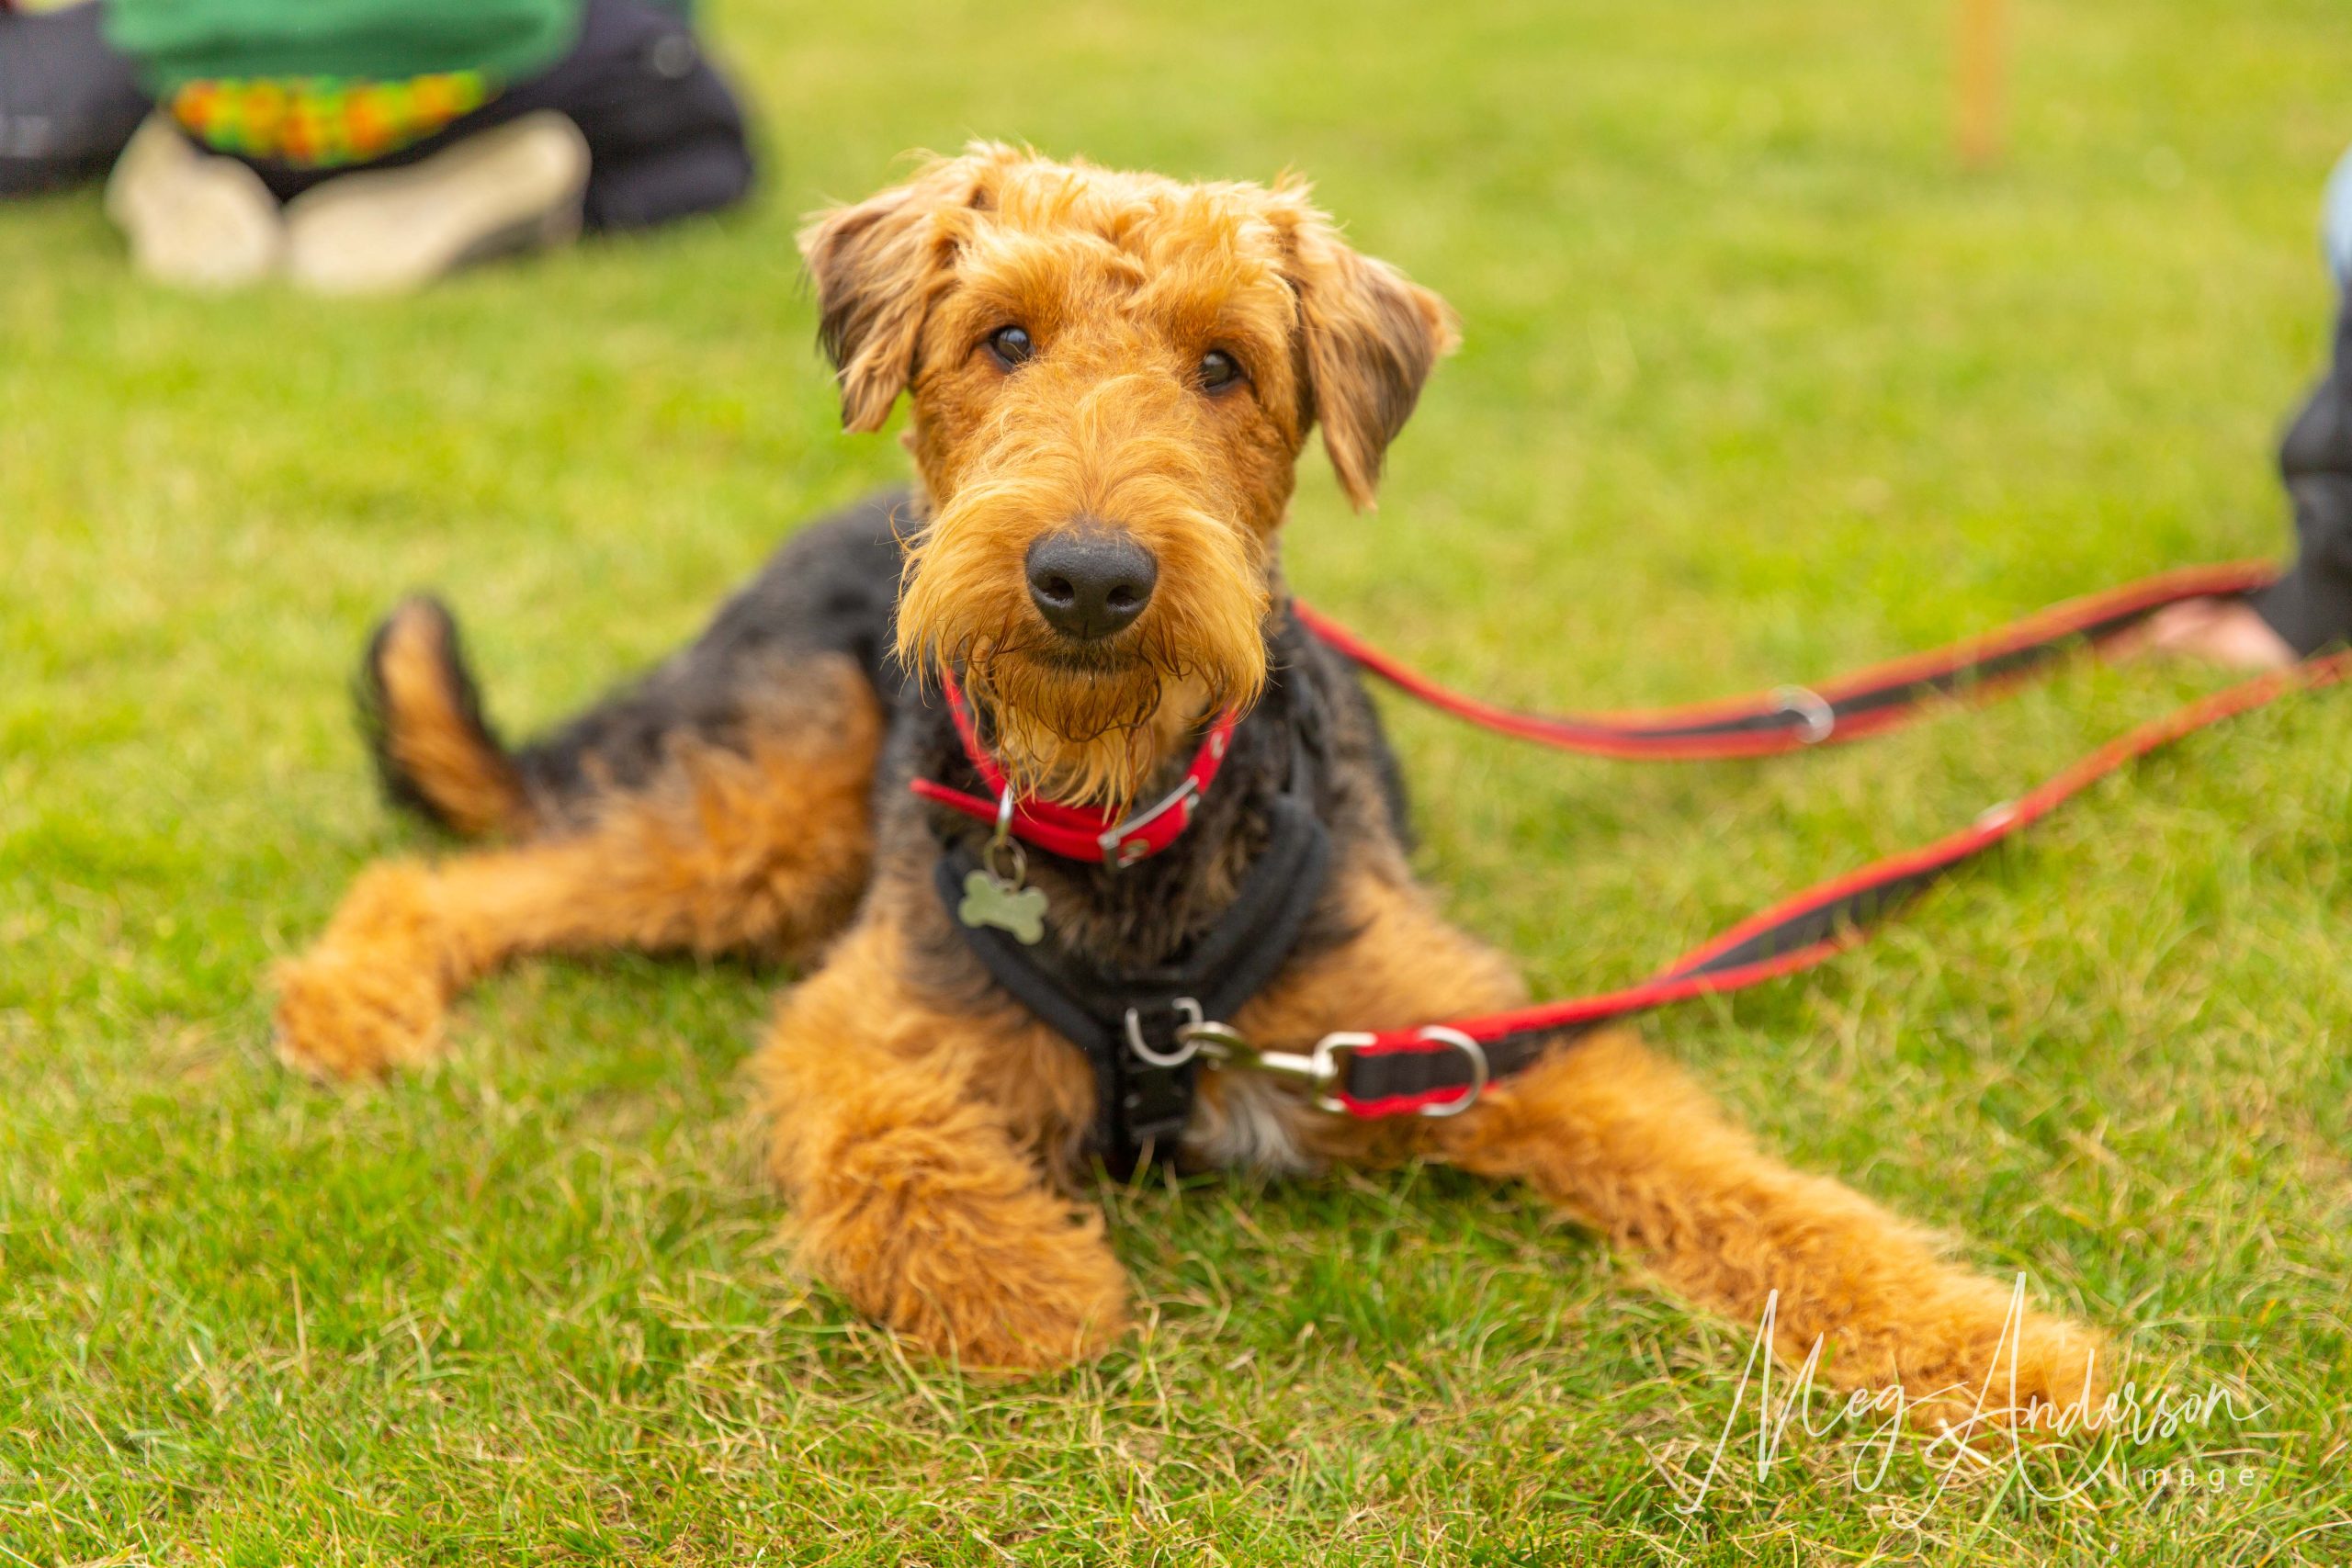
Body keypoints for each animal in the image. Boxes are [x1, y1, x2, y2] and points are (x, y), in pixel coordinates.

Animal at [270, 141, 2098, 1401]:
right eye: (1002, 336)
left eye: (1226, 363)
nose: (1087, 577)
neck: (1123, 828)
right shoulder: (865, 1020)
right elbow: (893, 1148)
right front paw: (1034, 1285)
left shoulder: (1461, 1027)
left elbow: (1748, 1186)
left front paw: (1997, 1352)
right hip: (766, 818)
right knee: (460, 872)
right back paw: (351, 1000)